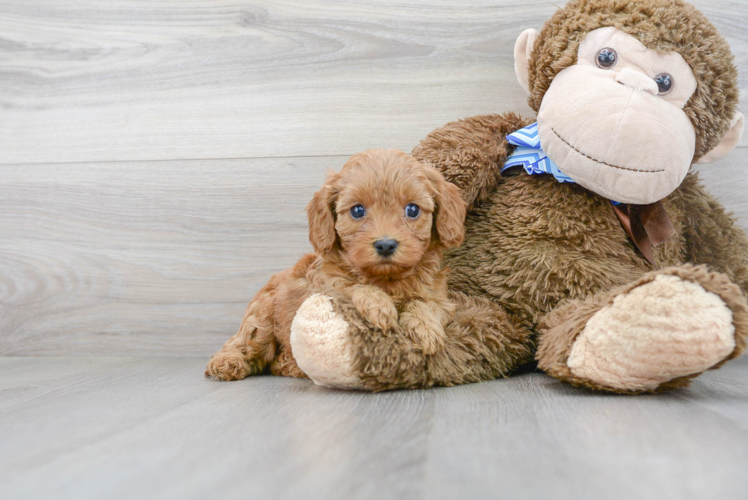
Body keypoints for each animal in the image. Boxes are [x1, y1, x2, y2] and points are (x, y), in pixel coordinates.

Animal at [205, 150, 462, 380]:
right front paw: (379, 306)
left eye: (413, 209)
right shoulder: (322, 289)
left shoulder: (440, 298)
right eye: (357, 210)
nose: (386, 245)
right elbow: (349, 287)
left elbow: (427, 303)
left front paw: (425, 329)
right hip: (262, 317)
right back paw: (227, 363)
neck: (386, 279)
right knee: (244, 342)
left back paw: (290, 365)